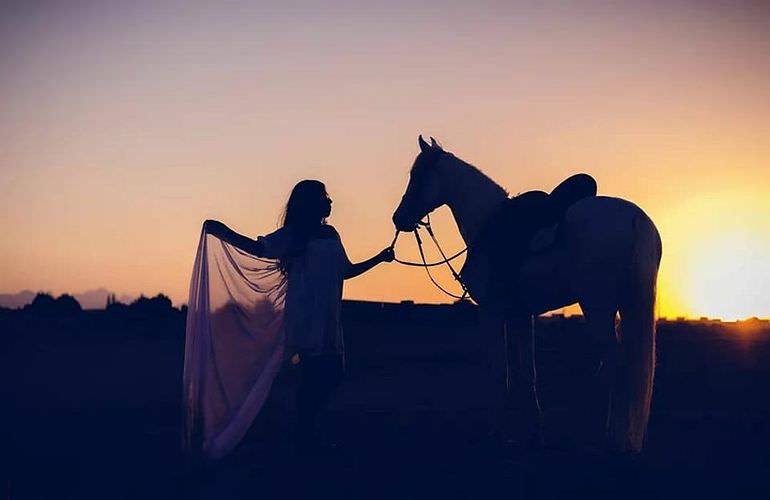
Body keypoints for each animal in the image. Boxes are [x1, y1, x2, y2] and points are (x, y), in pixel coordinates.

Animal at [390, 136, 660, 454]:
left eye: (417, 175)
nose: (399, 218)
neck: (487, 224)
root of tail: (634, 219)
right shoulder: (521, 314)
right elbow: (527, 373)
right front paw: (533, 435)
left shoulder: (492, 312)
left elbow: (500, 372)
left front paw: (496, 433)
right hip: (627, 305)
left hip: (598, 308)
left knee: (615, 367)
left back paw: (611, 442)